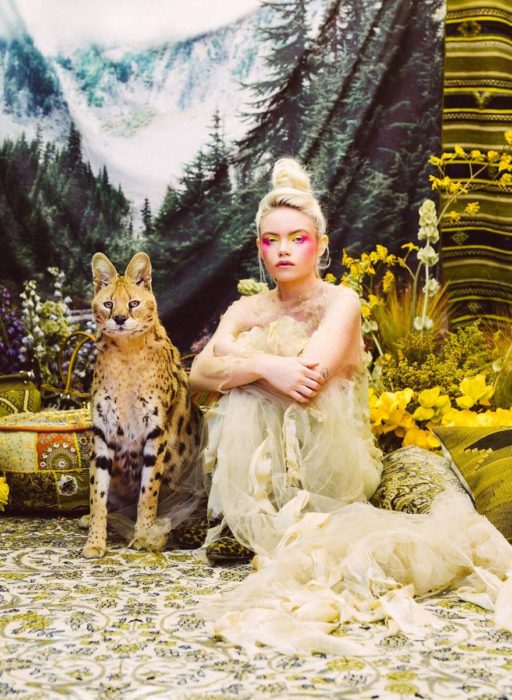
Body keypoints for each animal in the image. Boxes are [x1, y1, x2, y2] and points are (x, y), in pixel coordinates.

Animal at [83, 252, 203, 556]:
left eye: (133, 303)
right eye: (108, 304)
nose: (120, 318)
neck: (127, 354)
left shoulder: (154, 430)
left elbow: (148, 491)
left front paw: (143, 535)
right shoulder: (102, 430)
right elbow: (97, 492)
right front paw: (95, 541)